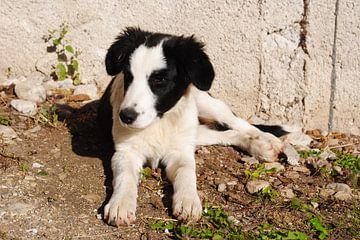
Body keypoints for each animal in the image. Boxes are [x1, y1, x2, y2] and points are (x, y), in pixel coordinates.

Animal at [97, 28, 286, 227]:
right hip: (196, 130)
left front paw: (188, 200)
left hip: (206, 103)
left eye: (159, 80)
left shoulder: (181, 152)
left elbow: (186, 172)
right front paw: (121, 204)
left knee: (238, 122)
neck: (160, 121)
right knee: (225, 133)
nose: (125, 117)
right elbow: (125, 176)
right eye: (128, 76)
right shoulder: (125, 152)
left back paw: (266, 142)